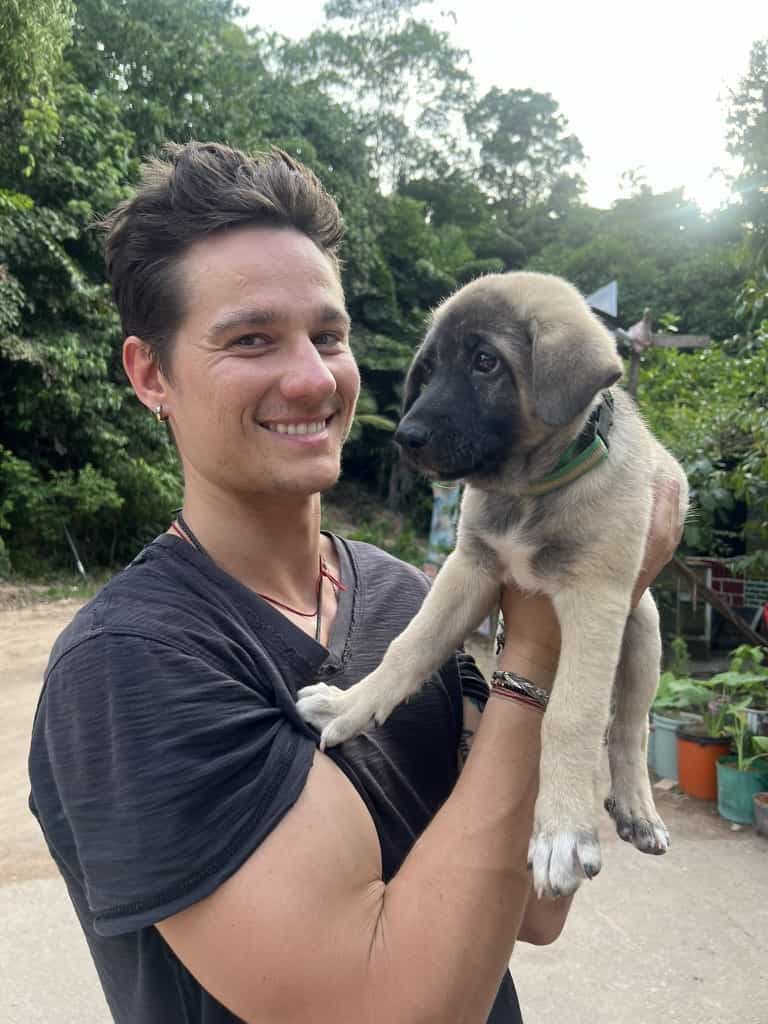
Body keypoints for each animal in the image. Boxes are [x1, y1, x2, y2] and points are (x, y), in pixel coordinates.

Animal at [296, 270, 688, 897]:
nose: (405, 437)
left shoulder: (596, 597)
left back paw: (636, 809)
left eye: (486, 362)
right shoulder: (469, 568)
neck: (527, 491)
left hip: (644, 628)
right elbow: (410, 646)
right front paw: (348, 706)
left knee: (630, 725)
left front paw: (562, 831)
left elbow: (573, 714)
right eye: (429, 369)